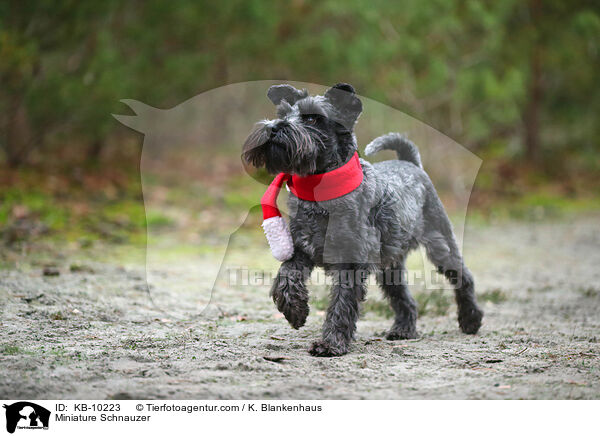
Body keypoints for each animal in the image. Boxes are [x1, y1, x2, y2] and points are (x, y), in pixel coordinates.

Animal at [241, 83, 480, 356]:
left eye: (312, 118)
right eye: (282, 113)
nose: (273, 128)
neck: (320, 193)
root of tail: (411, 163)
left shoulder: (350, 261)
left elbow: (341, 303)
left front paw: (331, 343)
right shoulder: (301, 249)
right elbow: (285, 278)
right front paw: (295, 311)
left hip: (441, 246)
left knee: (464, 277)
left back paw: (471, 320)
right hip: (390, 268)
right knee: (405, 299)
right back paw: (403, 330)